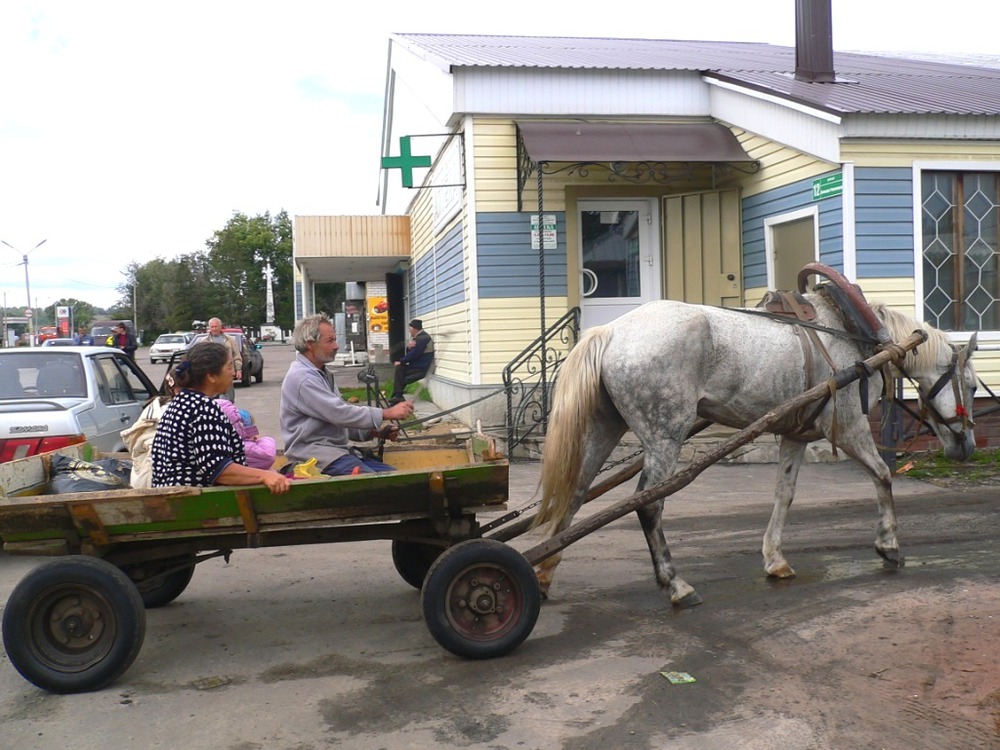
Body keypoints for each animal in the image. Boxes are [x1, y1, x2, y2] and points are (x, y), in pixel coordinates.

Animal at [536, 290, 972, 608]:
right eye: (968, 382)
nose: (966, 443)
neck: (853, 333)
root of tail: (610, 331)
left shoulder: (796, 433)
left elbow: (784, 494)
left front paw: (775, 559)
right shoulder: (848, 426)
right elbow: (882, 475)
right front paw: (888, 544)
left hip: (603, 429)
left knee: (574, 494)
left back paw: (544, 572)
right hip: (664, 436)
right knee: (648, 504)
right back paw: (676, 585)